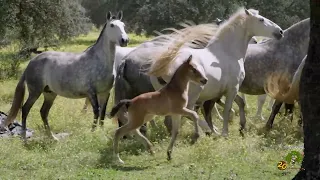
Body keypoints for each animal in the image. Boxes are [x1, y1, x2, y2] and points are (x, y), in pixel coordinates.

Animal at [1, 11, 129, 141]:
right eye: (112, 25)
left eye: (123, 25)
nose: (124, 40)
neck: (99, 60)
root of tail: (31, 63)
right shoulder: (91, 92)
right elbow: (96, 112)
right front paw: (92, 132)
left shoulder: (105, 93)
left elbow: (102, 113)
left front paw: (101, 134)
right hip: (35, 92)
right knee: (25, 109)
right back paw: (24, 138)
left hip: (49, 93)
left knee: (43, 112)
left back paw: (53, 138)